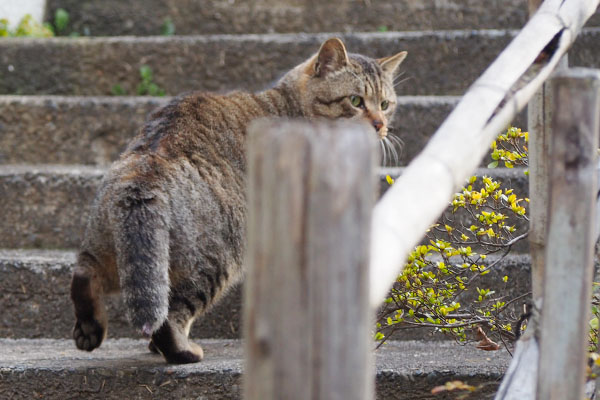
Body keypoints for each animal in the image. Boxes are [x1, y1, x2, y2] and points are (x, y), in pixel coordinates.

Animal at [70, 36, 408, 362]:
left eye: (385, 104)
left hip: (119, 253)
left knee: (87, 275)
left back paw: (90, 329)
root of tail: (146, 171)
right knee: (168, 316)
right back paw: (182, 352)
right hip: (213, 261)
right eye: (356, 101)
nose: (380, 125)